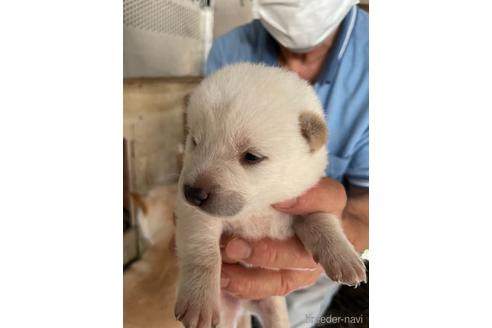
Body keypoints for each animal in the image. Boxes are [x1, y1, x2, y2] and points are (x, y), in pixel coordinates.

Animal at [174, 62, 366, 326]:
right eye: (195, 141)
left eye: (251, 157)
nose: (192, 193)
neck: (259, 207)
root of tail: (243, 307)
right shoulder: (196, 215)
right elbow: (202, 249)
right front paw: (199, 302)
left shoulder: (300, 201)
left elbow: (321, 219)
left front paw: (345, 258)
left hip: (274, 306)